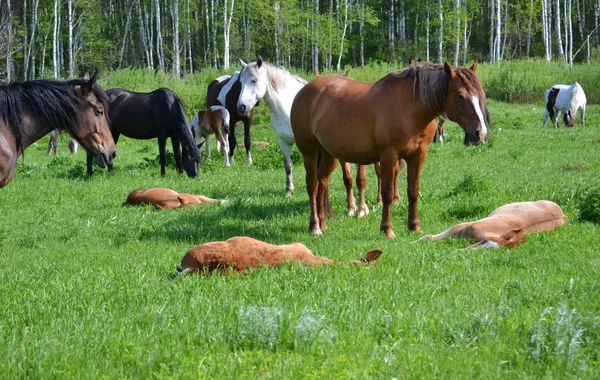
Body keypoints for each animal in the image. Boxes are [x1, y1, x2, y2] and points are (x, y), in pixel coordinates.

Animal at [236, 58, 308, 199]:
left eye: (254, 80)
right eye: (240, 82)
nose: (241, 107)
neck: (290, 106)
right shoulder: (284, 141)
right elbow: (288, 166)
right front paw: (289, 191)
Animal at [290, 62, 488, 238]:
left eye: (480, 94)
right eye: (460, 96)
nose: (480, 133)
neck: (410, 107)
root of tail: (304, 90)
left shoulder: (418, 156)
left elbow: (413, 190)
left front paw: (414, 226)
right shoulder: (388, 156)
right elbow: (387, 193)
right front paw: (387, 230)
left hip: (329, 154)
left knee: (322, 184)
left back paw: (323, 224)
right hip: (309, 151)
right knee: (313, 185)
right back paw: (314, 227)